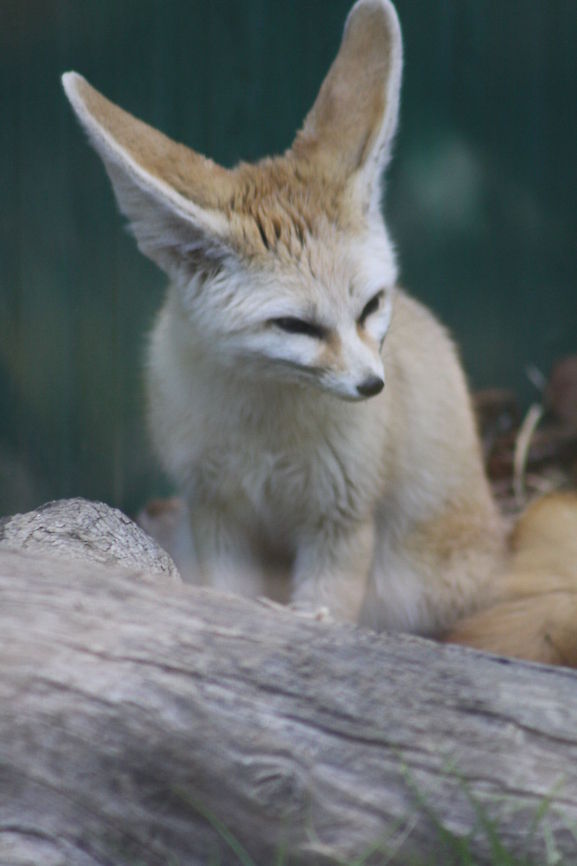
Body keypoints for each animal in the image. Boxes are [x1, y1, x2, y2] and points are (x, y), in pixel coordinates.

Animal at [62, 0, 577, 662]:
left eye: (371, 306)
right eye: (295, 325)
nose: (372, 387)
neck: (265, 429)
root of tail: (499, 542)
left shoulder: (343, 521)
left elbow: (325, 614)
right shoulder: (216, 508)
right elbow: (226, 597)